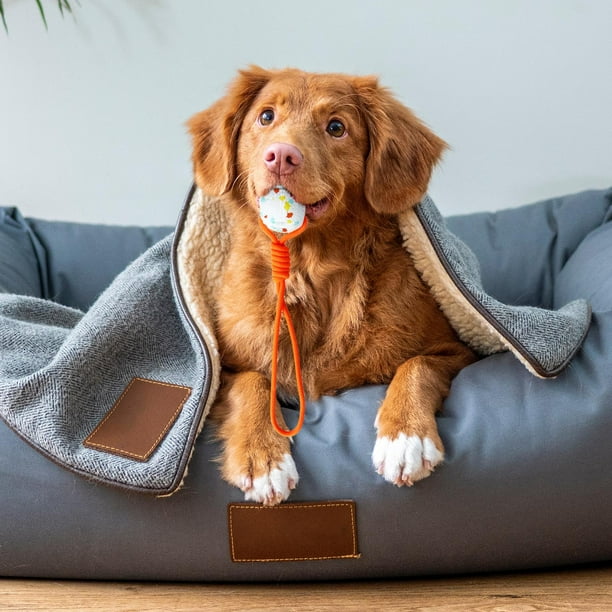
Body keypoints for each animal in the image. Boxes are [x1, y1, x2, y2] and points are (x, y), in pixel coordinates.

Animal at [189, 68, 476, 506]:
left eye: (336, 127)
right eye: (266, 116)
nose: (281, 156)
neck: (312, 270)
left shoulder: (457, 350)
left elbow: (417, 365)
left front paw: (405, 437)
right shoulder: (222, 370)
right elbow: (252, 382)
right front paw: (263, 457)